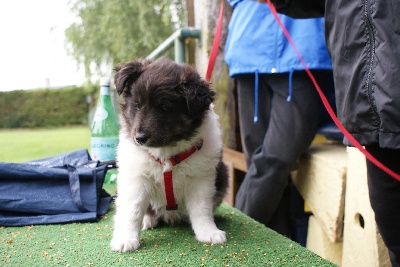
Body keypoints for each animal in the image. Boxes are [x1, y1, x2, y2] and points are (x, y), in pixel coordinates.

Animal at [110, 57, 228, 253]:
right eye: (137, 105)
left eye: (164, 108)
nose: (139, 138)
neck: (167, 152)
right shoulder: (137, 177)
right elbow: (132, 209)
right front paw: (126, 239)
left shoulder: (201, 178)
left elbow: (201, 208)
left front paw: (208, 232)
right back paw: (148, 221)